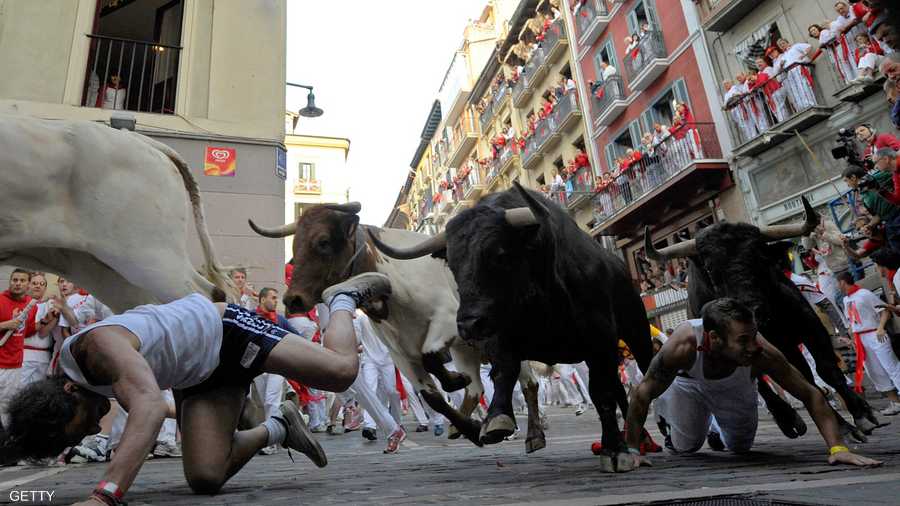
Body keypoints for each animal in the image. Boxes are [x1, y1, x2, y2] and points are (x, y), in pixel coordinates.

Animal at [370, 183, 652, 470]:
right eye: (451, 262)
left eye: (500, 255)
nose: (468, 324)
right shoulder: (500, 337)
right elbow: (504, 372)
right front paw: (497, 419)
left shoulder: (600, 339)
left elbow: (602, 393)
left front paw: (615, 450)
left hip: (636, 329)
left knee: (640, 370)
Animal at [644, 198, 884, 438]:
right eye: (711, 269)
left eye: (760, 258)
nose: (754, 312)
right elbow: (766, 384)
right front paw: (794, 419)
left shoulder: (808, 324)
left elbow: (826, 368)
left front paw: (862, 415)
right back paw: (791, 419)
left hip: (788, 345)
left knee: (805, 377)